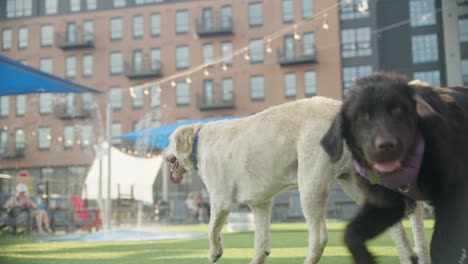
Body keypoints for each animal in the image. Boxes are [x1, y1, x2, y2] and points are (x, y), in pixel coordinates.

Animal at [162, 97, 428, 264]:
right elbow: (261, 241)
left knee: (320, 237)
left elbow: (210, 230)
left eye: (169, 142)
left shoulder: (220, 200)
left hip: (310, 185)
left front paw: (215, 253)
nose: (161, 155)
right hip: (355, 185)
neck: (198, 141)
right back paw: (408, 257)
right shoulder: (261, 205)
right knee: (395, 227)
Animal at [322, 71, 468, 262]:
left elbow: (442, 247)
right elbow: (350, 234)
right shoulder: (387, 205)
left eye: (398, 110)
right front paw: (366, 259)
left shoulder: (455, 195)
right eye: (361, 115)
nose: (386, 146)